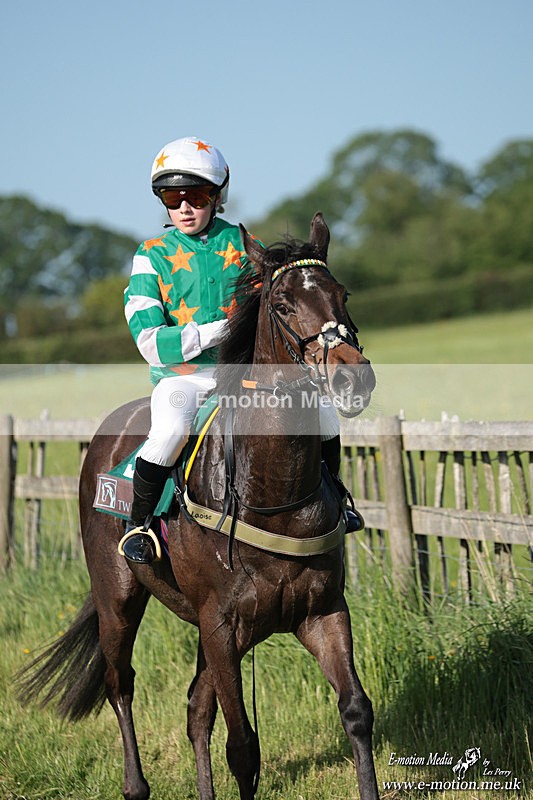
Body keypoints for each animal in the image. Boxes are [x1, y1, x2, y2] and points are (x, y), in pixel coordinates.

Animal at [17, 213, 379, 800]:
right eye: (282, 304)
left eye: (341, 293)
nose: (353, 375)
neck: (271, 497)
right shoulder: (221, 625)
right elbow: (244, 747)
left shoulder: (322, 611)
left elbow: (355, 712)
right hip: (118, 597)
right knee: (121, 684)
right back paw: (135, 784)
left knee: (194, 709)